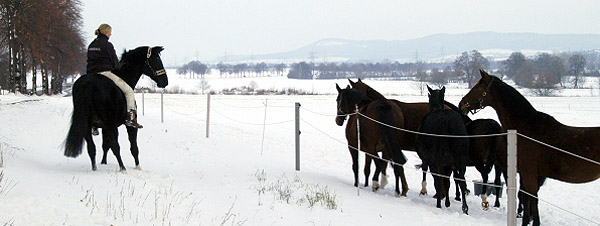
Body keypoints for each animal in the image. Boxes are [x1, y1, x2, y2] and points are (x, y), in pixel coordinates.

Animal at [414, 85, 472, 215]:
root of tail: (449, 122)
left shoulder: (430, 160)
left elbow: (439, 180)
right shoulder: (448, 164)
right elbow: (447, 182)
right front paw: (448, 202)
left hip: (436, 160)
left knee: (438, 182)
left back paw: (438, 205)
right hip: (461, 158)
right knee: (462, 181)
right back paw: (465, 208)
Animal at [460, 69, 600, 225]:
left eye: (478, 87)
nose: (461, 104)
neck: (527, 127)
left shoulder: (529, 173)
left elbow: (531, 198)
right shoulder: (526, 174)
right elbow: (527, 197)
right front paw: (526, 220)